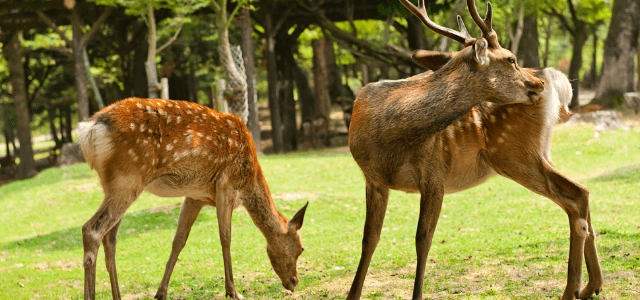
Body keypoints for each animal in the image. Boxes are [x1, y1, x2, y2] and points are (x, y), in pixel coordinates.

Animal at [77, 97, 308, 298]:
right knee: (92, 229)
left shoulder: (195, 196)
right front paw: (233, 292)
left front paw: (161, 293)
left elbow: (179, 240)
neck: (249, 180)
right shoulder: (226, 185)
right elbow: (226, 237)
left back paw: (118, 296)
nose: (294, 282)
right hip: (128, 177)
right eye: (301, 248)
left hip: (113, 184)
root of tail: (89, 130)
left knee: (110, 238)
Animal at [344, 0, 600, 300]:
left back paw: (573, 289)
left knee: (576, 194)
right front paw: (352, 295)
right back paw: (590, 286)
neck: (388, 138)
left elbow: (423, 239)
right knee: (580, 195)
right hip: (533, 152)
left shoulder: (435, 171)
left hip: (515, 154)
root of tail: (555, 78)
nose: (538, 85)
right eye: (511, 58)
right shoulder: (373, 179)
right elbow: (368, 239)